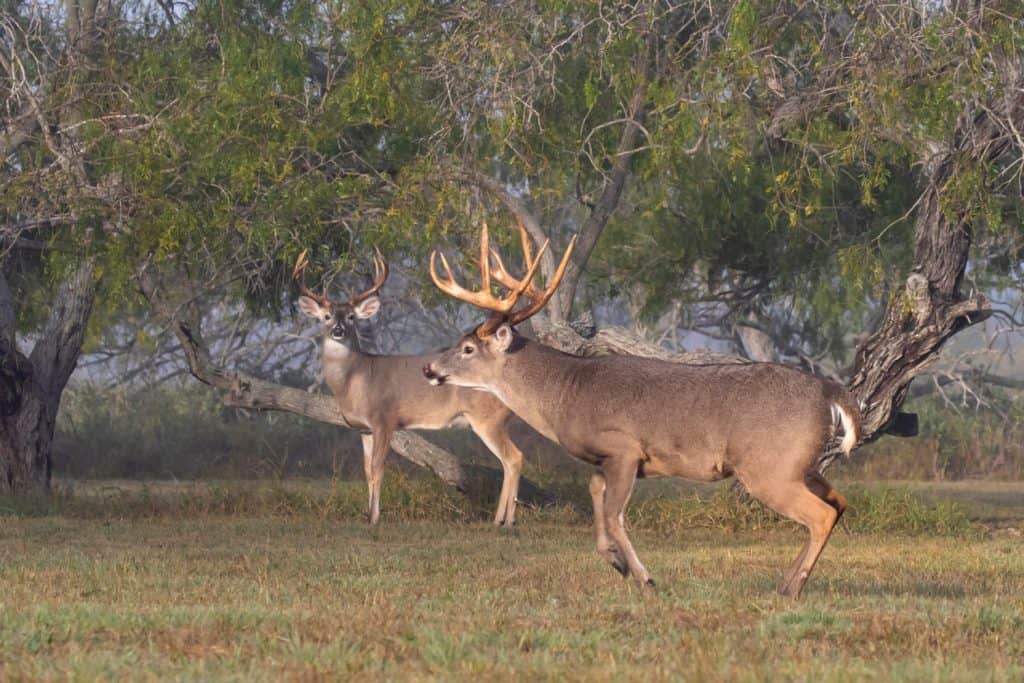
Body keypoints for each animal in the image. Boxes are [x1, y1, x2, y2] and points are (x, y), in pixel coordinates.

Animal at [293, 248, 527, 527]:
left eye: (351, 317)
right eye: (327, 317)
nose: (338, 330)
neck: (356, 380)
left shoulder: (384, 419)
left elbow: (377, 468)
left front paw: (374, 517)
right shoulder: (364, 429)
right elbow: (366, 471)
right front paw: (367, 513)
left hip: (487, 419)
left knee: (514, 458)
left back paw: (506, 520)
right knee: (507, 461)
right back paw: (501, 519)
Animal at [422, 220, 861, 598]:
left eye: (467, 348)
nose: (429, 368)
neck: (566, 393)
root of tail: (830, 392)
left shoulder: (623, 448)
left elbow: (615, 515)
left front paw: (644, 577)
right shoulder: (606, 459)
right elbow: (595, 493)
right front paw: (617, 563)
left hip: (769, 467)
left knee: (820, 515)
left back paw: (792, 587)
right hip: (803, 465)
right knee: (839, 503)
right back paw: (787, 582)